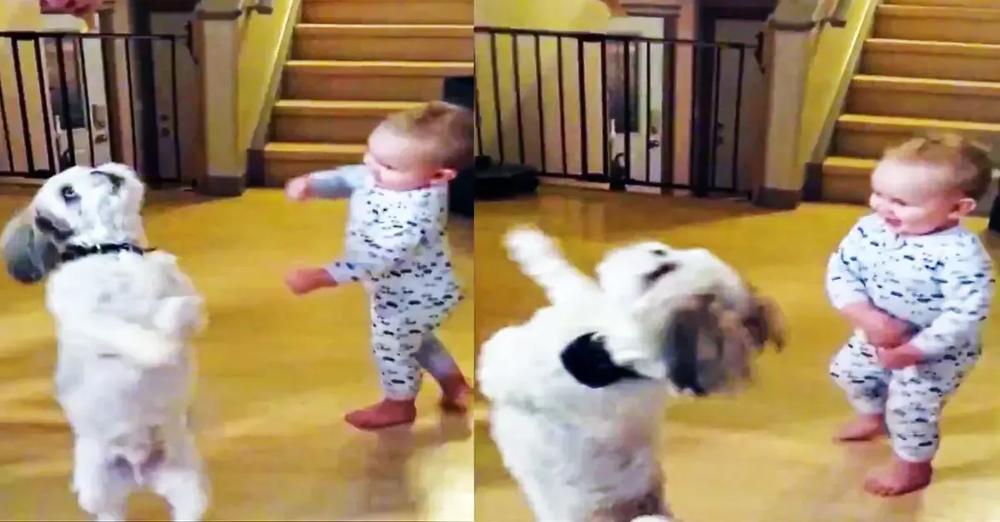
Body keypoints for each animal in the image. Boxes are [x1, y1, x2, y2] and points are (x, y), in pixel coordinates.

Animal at [1, 164, 208, 520]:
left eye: (91, 167)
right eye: (68, 192)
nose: (102, 170)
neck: (115, 251)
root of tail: (139, 471)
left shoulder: (185, 300)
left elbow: (180, 308)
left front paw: (168, 331)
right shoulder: (90, 320)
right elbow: (126, 331)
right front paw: (158, 348)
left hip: (188, 486)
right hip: (97, 489)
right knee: (109, 513)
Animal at [480, 228, 784, 520]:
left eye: (662, 270)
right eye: (667, 254)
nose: (655, 248)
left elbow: (500, 367)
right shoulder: (586, 306)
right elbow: (562, 275)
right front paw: (528, 242)